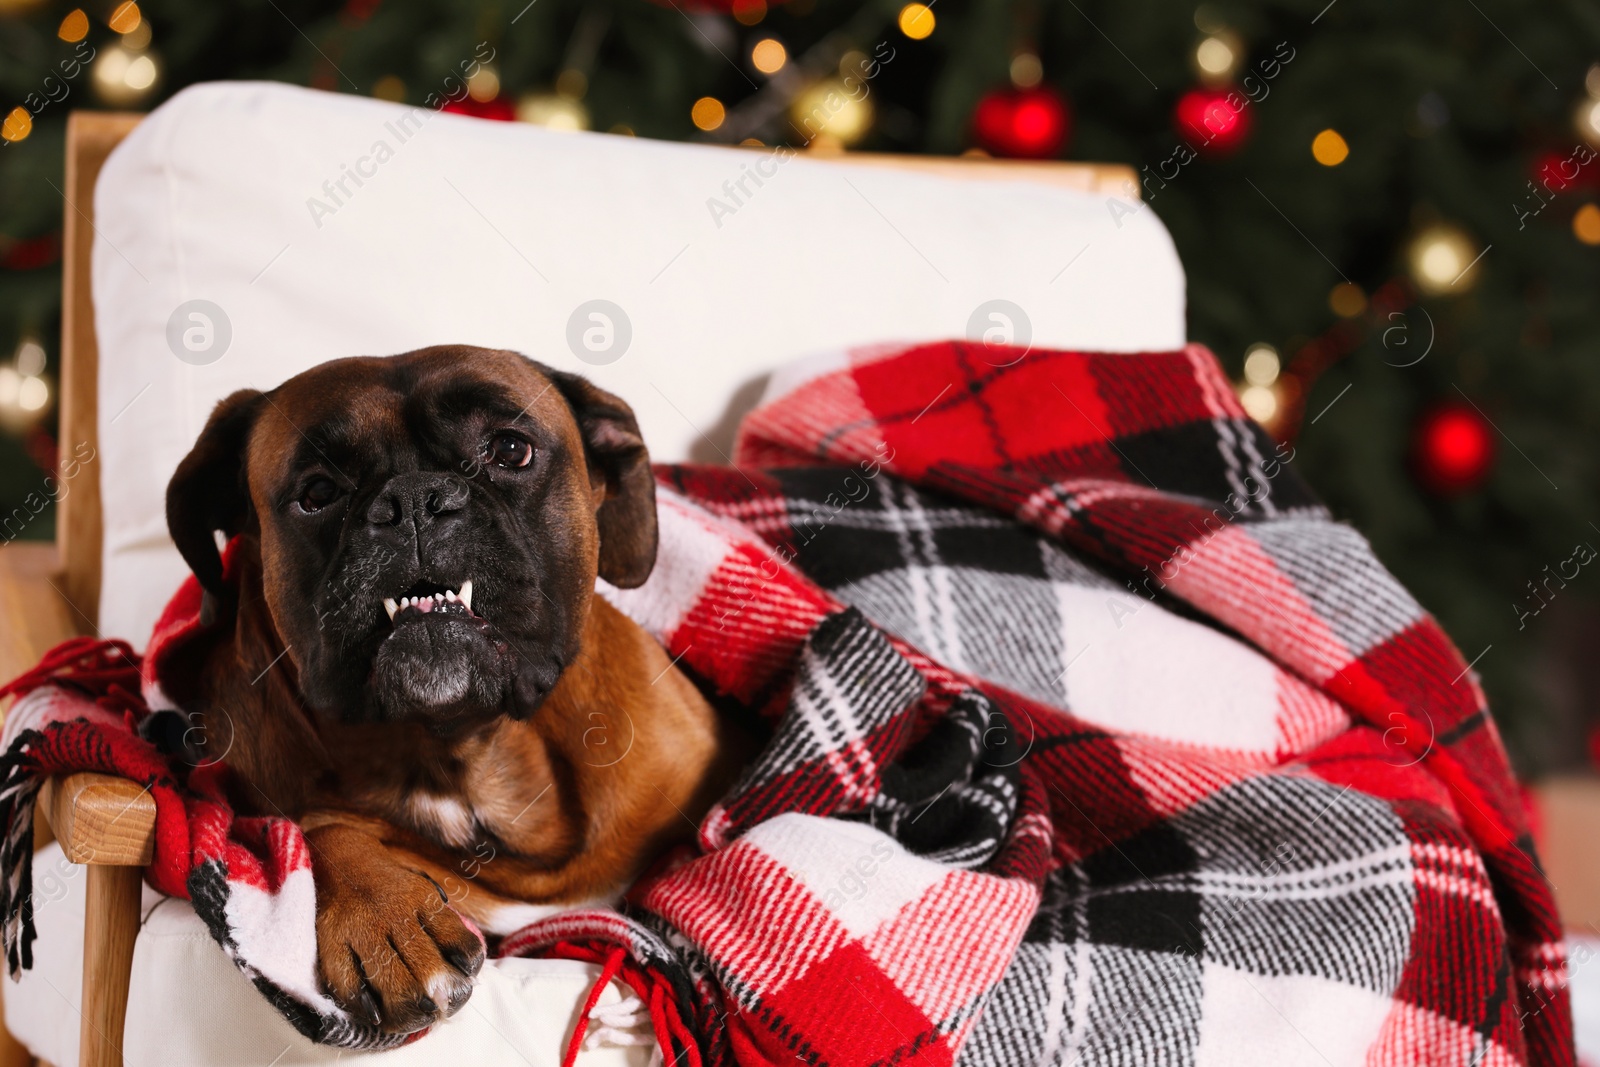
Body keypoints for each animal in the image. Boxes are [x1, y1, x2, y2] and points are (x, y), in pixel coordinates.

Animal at [157, 348, 742, 1036]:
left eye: (511, 450)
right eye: (318, 493)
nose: (414, 499)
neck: (460, 752)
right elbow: (314, 828)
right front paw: (383, 916)